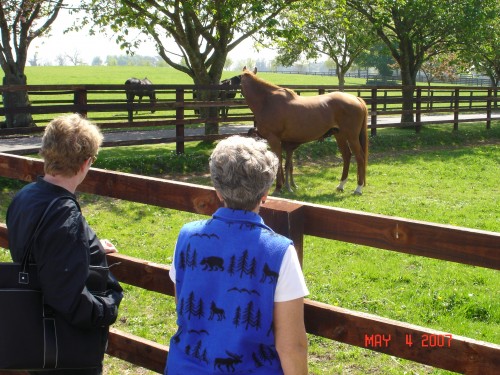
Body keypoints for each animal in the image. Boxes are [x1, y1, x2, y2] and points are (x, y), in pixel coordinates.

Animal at [240, 67, 370, 195]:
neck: (267, 101)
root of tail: (356, 98)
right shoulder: (285, 144)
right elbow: (286, 164)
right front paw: (286, 186)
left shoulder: (274, 139)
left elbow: (279, 162)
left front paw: (278, 187)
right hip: (340, 135)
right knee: (347, 156)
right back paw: (341, 185)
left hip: (352, 137)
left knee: (360, 157)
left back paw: (358, 188)